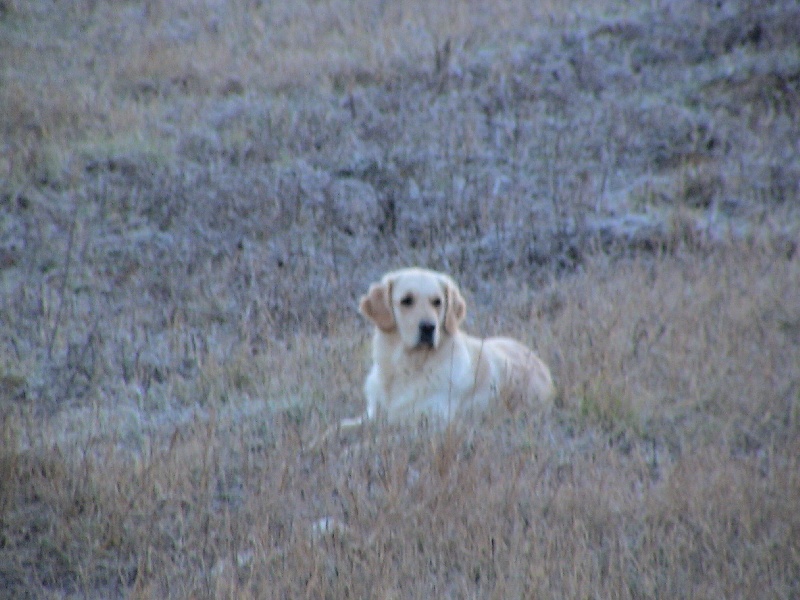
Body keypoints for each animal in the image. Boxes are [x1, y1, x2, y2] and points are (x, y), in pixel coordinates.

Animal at [342, 264, 556, 428]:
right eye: (406, 300)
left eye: (437, 302)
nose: (428, 327)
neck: (408, 365)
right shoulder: (372, 414)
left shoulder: (432, 418)